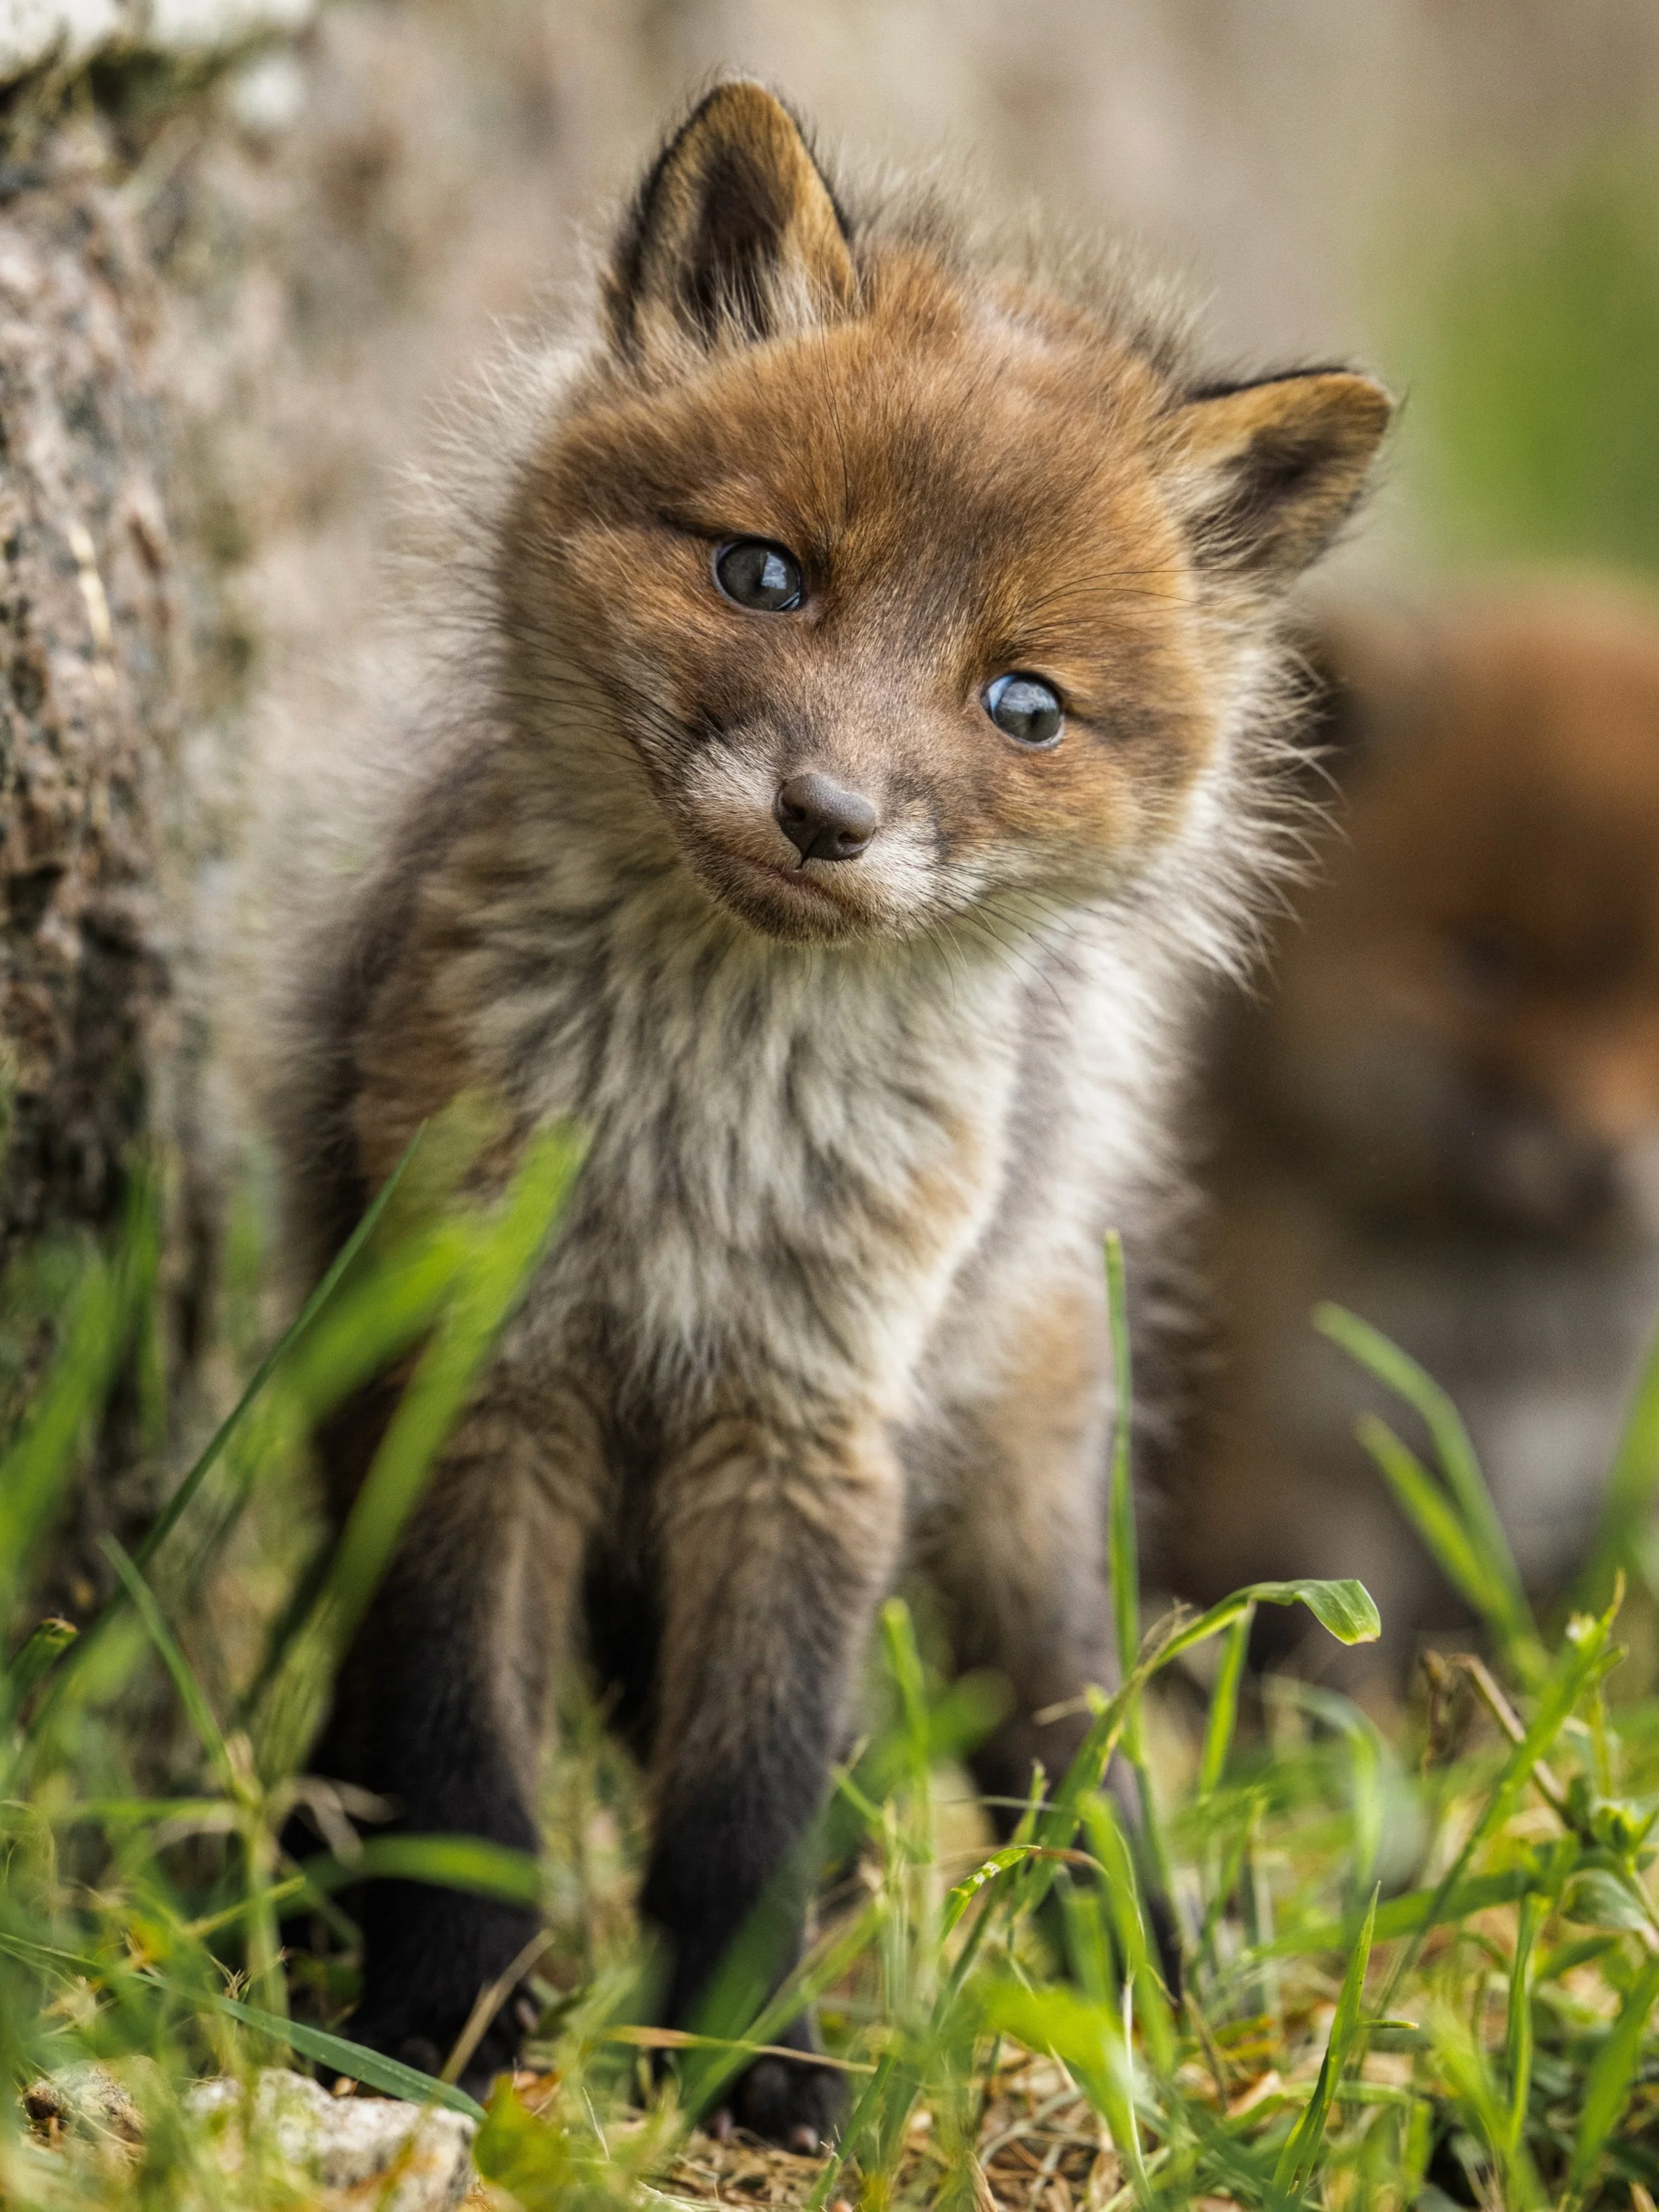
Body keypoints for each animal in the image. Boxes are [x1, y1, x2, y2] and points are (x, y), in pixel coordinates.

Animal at [274, 80, 1390, 2146]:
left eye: (1022, 703)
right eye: (766, 576)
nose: (826, 818)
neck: (694, 1155)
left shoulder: (805, 1425)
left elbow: (751, 1794)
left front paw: (755, 2067)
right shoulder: (480, 1368)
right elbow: (464, 1766)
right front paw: (439, 2029)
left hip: (1018, 1488)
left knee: (1070, 1738)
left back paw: (1149, 1980)